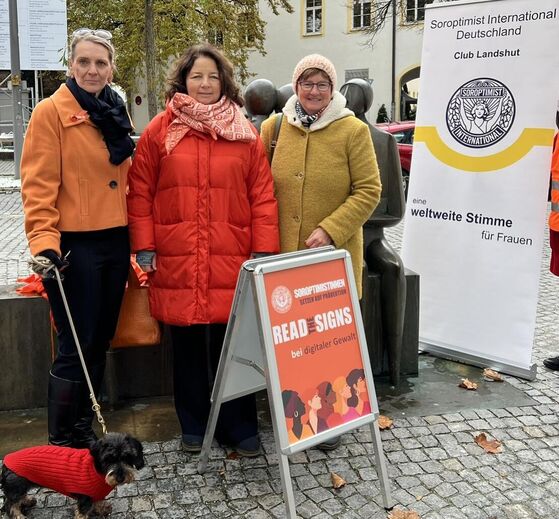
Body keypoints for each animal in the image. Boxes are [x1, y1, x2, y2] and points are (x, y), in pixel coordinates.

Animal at [1, 432, 144, 516]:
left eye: (127, 457)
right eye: (108, 460)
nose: (120, 478)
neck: (97, 471)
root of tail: (6, 462)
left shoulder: (95, 493)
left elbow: (98, 501)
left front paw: (102, 509)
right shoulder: (85, 498)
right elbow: (82, 513)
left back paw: (27, 501)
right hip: (16, 488)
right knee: (10, 505)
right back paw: (19, 515)